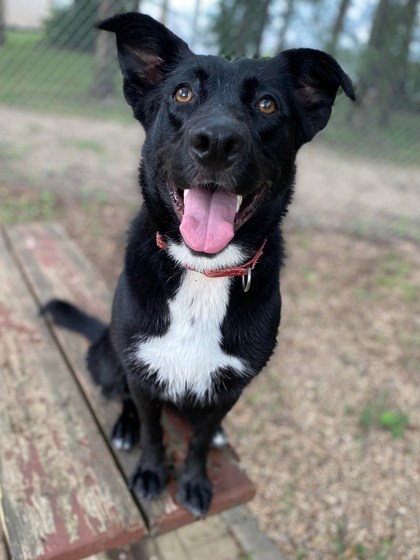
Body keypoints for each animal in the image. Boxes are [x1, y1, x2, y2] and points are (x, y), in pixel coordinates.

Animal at [44, 13, 354, 520]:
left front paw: (194, 481)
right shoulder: (142, 373)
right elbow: (153, 430)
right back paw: (124, 427)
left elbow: (201, 440)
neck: (200, 273)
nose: (217, 143)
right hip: (111, 360)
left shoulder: (230, 388)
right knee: (123, 396)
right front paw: (152, 472)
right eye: (183, 94)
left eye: (267, 104)